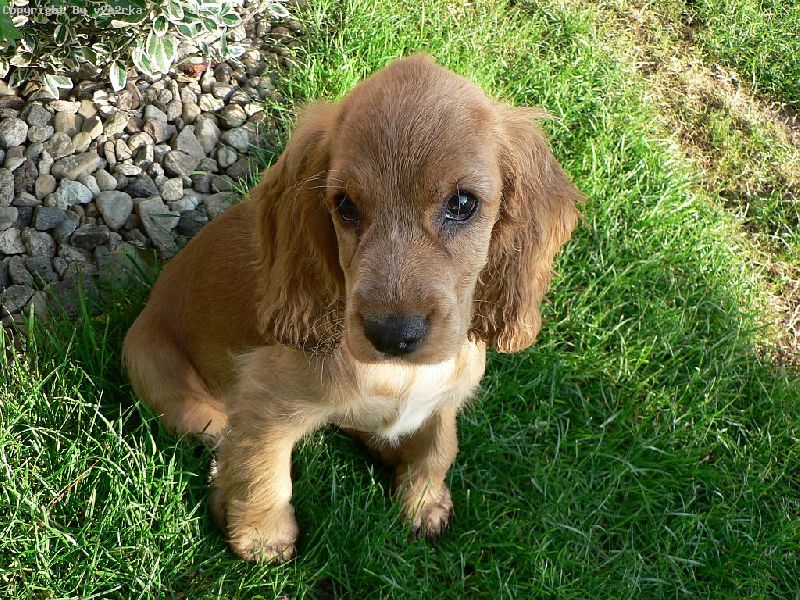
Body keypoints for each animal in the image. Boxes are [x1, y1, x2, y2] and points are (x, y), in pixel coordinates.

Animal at [122, 53, 582, 563]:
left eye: (463, 203)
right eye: (344, 206)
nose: (391, 336)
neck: (398, 375)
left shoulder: (449, 392)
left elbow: (440, 446)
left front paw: (424, 501)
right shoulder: (263, 400)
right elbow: (261, 472)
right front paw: (263, 537)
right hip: (173, 387)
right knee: (221, 440)